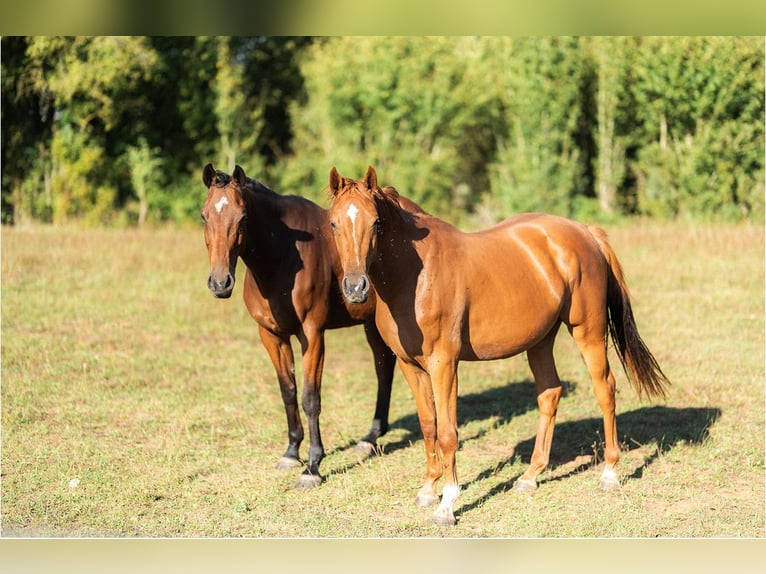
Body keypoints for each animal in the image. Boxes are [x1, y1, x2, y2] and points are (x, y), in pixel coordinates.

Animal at [201, 163, 400, 490]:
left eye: (242, 217)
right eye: (204, 215)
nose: (220, 283)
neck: (279, 259)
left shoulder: (312, 335)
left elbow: (310, 398)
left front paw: (312, 466)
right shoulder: (272, 336)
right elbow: (288, 391)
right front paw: (292, 452)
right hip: (371, 324)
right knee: (384, 367)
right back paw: (371, 437)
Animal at [330, 165, 672, 528]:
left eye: (376, 222)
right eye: (334, 223)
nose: (355, 287)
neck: (414, 276)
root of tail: (585, 232)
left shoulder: (444, 364)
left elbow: (448, 432)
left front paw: (447, 505)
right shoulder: (410, 366)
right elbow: (428, 426)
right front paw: (427, 490)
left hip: (588, 332)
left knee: (605, 389)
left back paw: (609, 472)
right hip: (540, 341)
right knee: (550, 393)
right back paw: (530, 476)